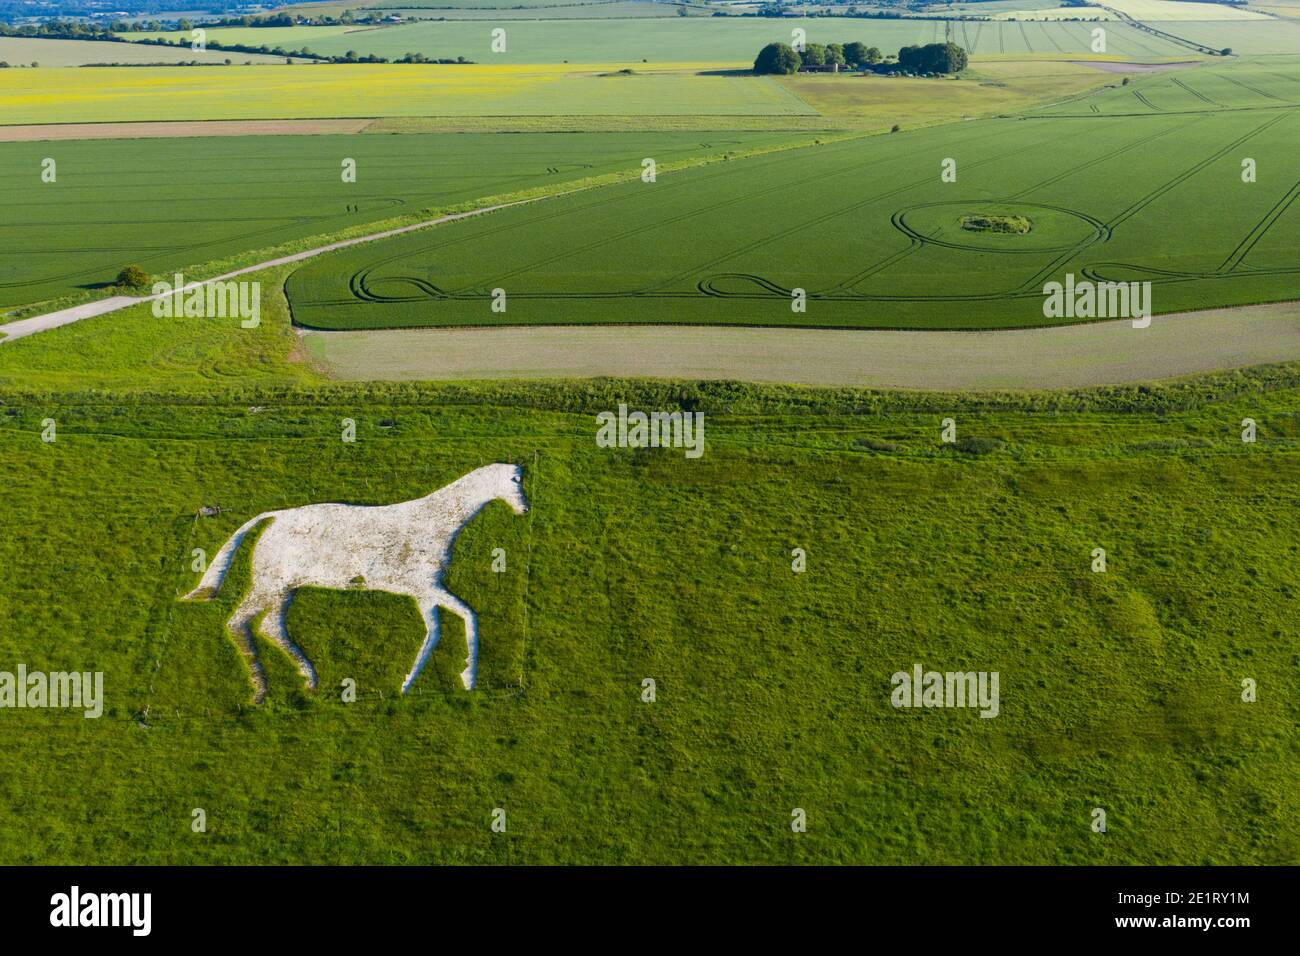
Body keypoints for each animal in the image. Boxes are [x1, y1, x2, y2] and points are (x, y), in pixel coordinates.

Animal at [181, 463, 528, 703]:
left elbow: (443, 627)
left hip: (285, 589)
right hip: (269, 585)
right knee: (238, 623)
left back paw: (308, 680)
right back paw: (260, 690)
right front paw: (454, 678)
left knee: (270, 627)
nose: (525, 508)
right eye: (514, 481)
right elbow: (457, 620)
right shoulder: (424, 588)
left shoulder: (423, 592)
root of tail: (272, 518)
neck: (435, 523)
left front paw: (425, 682)